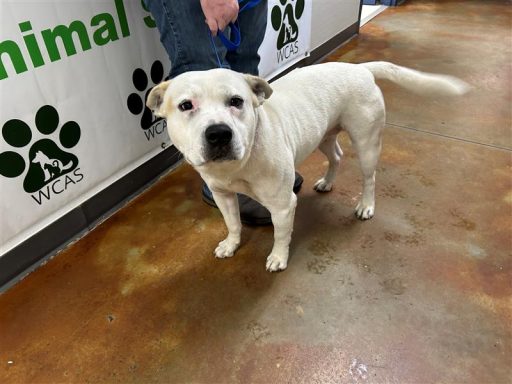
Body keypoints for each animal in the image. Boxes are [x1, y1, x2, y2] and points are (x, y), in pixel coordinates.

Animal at [147, 61, 468, 272]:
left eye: (236, 101)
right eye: (186, 106)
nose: (218, 133)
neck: (237, 166)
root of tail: (360, 67)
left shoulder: (283, 206)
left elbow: (281, 235)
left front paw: (278, 257)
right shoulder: (223, 196)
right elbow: (233, 222)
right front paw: (231, 243)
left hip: (366, 143)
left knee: (370, 177)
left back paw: (366, 205)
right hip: (323, 135)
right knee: (336, 156)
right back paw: (327, 182)